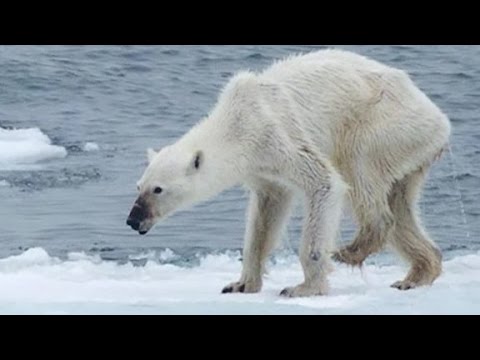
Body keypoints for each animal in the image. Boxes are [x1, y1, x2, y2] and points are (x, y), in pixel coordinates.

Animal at [126, 50, 450, 298]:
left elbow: (324, 183)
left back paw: (352, 250)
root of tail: (440, 119)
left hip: (384, 124)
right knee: (401, 204)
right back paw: (416, 274)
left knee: (359, 169)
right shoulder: (261, 168)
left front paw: (303, 287)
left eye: (158, 189)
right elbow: (266, 214)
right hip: (410, 150)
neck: (236, 122)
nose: (133, 220)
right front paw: (240, 284)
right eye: (138, 186)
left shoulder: (276, 134)